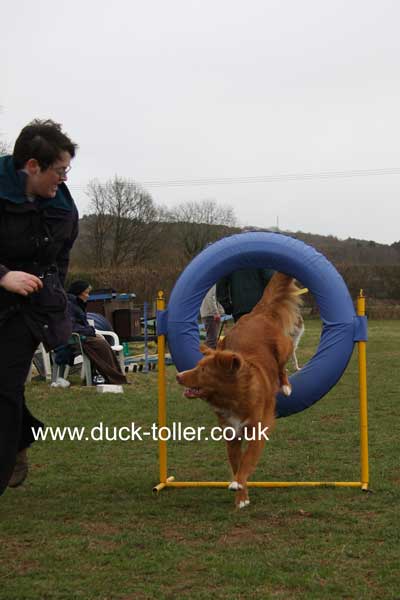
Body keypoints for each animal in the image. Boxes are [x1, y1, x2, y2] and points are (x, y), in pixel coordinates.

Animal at [177, 274, 302, 508]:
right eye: (197, 366)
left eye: (203, 370)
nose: (178, 376)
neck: (233, 397)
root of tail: (256, 313)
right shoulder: (231, 435)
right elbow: (237, 464)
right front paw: (240, 494)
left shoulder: (257, 432)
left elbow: (247, 462)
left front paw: (239, 487)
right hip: (225, 341)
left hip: (283, 347)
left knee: (282, 365)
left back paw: (286, 386)